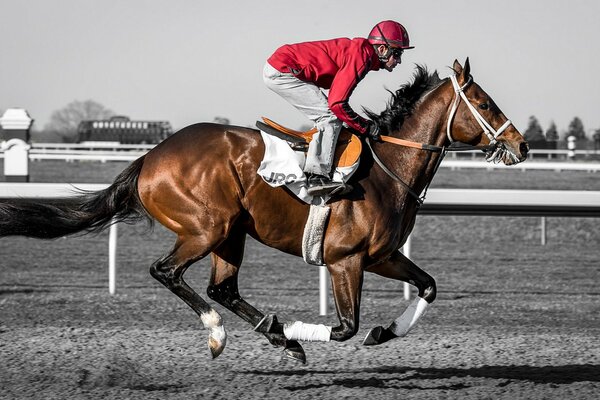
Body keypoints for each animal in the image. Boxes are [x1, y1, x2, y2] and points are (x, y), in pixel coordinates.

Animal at [0, 58, 524, 362]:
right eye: (484, 103)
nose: (519, 145)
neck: (386, 170)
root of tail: (149, 157)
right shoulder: (345, 261)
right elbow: (344, 328)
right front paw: (296, 325)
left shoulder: (382, 256)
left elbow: (428, 286)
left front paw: (383, 331)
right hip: (206, 228)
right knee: (167, 272)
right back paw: (226, 334)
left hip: (231, 233)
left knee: (223, 287)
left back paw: (276, 337)